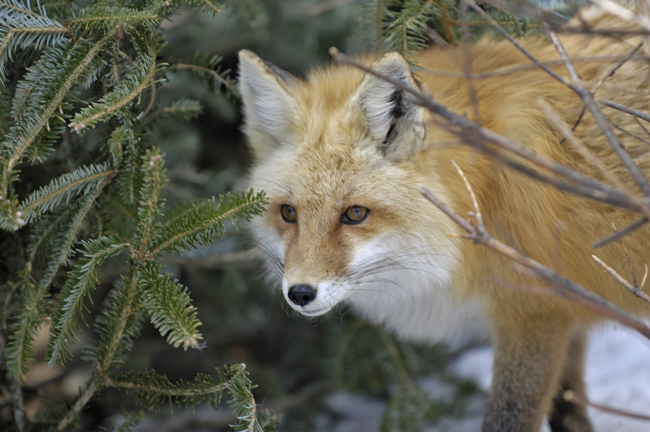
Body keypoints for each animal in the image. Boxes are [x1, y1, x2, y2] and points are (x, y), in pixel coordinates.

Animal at [238, 5, 650, 432]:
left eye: (354, 214)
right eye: (288, 213)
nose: (300, 293)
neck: (482, 192)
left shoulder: (537, 313)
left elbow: (510, 415)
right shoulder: (566, 316)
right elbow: (568, 409)